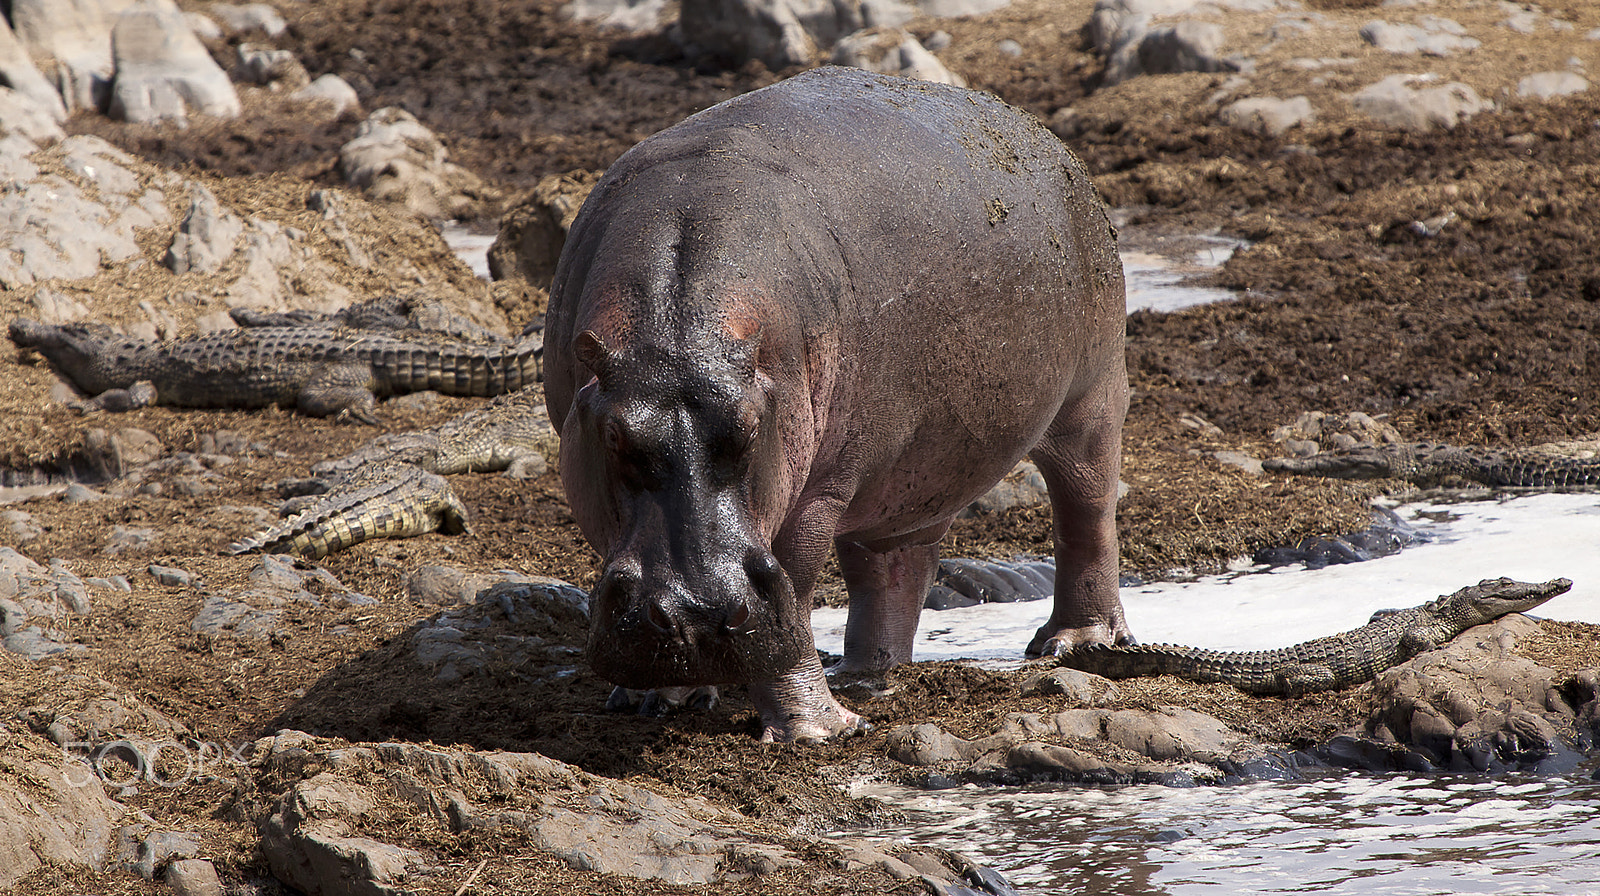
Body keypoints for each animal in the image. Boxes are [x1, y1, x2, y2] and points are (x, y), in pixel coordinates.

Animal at [544, 68, 1132, 742]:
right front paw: (655, 698)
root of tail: (1045, 138)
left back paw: (1074, 642)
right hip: (905, 468)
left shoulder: (820, 487)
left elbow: (796, 585)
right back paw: (865, 674)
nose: (698, 614)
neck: (678, 324)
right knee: (891, 566)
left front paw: (817, 731)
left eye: (751, 428)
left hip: (1090, 395)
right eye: (614, 436)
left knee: (1086, 510)